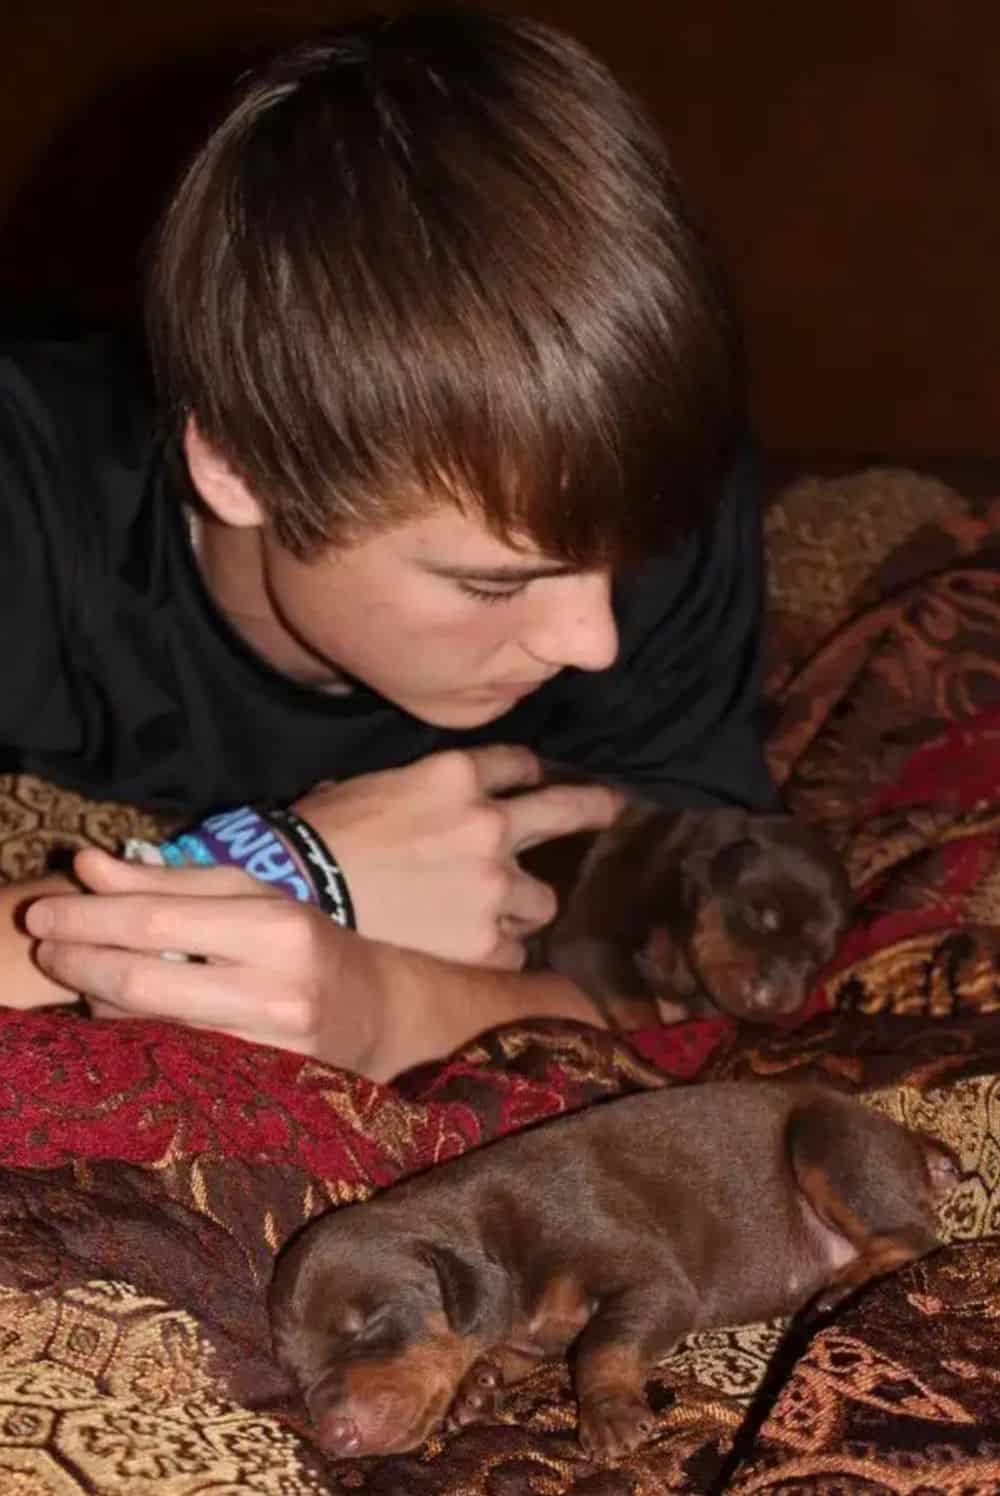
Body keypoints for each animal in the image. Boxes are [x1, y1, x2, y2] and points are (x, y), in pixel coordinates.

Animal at [269, 1089, 958, 1460]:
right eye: (297, 1375)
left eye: (371, 1325)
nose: (334, 1438)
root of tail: (907, 1139)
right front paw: (476, 1390)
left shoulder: (651, 1282)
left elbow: (600, 1345)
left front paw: (609, 1417)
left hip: (826, 1143)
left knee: (915, 1238)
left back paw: (839, 1287)